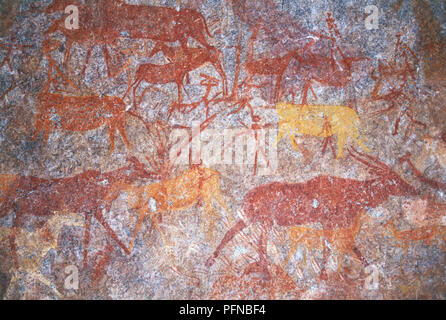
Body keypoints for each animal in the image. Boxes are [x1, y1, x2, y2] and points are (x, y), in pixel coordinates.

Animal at [207, 148, 420, 278]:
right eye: (394, 179)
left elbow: (352, 247)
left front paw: (369, 268)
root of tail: (247, 197)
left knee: (234, 234)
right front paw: (324, 275)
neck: (349, 193)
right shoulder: (327, 222)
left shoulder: (340, 225)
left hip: (252, 220)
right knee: (254, 241)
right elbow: (328, 247)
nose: (414, 190)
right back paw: (263, 273)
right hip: (263, 221)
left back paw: (214, 261)